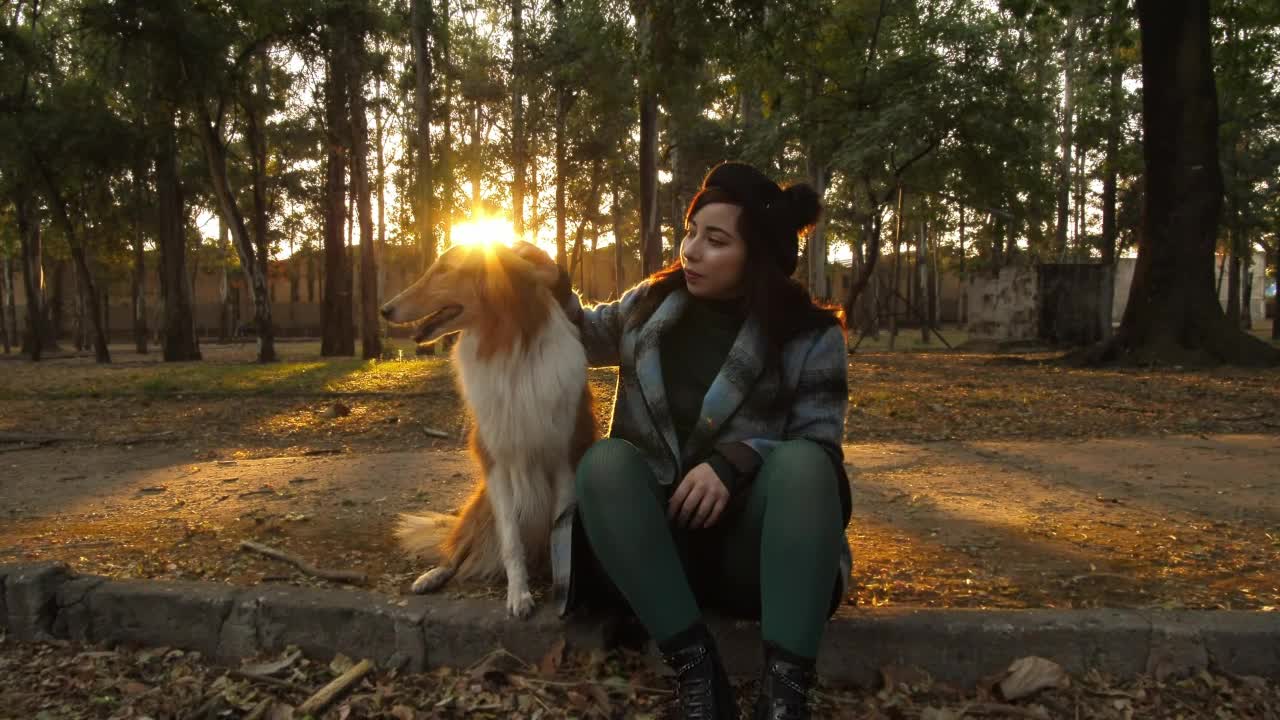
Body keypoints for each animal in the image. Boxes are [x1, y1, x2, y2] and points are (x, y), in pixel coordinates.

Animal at [378, 240, 599, 617]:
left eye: (444, 269)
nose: (384, 309)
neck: (508, 346)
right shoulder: (497, 463)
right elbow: (511, 540)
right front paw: (518, 594)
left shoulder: (563, 459)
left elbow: (560, 532)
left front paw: (561, 586)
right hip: (481, 505)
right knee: (459, 549)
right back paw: (433, 575)